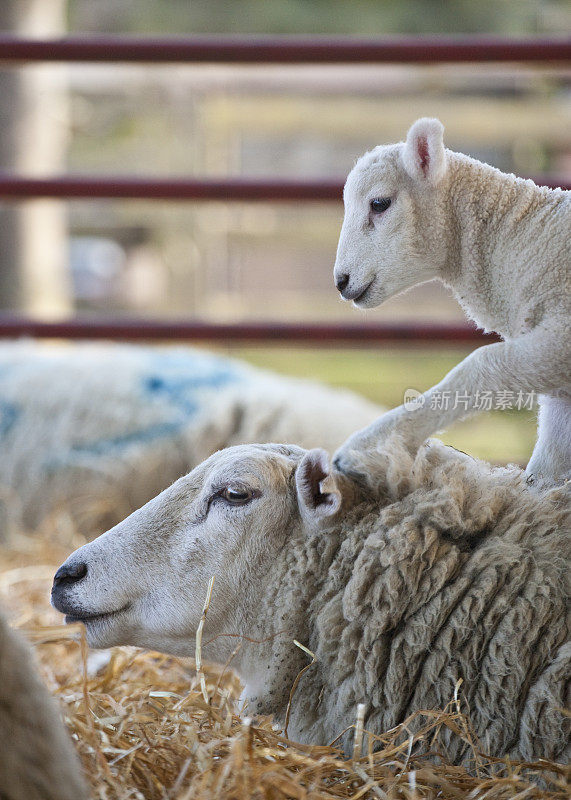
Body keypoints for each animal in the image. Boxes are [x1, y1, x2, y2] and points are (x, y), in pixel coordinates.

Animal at [332, 115, 568, 484]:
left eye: (379, 204)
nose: (340, 282)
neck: (522, 240)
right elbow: (547, 467)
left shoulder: (560, 339)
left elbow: (480, 365)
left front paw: (369, 447)